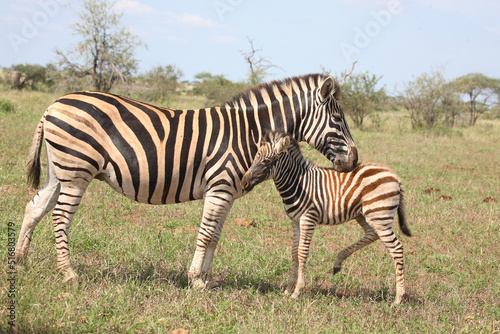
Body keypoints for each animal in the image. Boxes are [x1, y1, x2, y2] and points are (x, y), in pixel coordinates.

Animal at [15, 73, 358, 288]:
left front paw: (207, 280)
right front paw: (194, 279)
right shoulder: (219, 188)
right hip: (76, 172)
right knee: (60, 217)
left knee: (35, 207)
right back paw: (68, 273)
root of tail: (54, 104)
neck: (250, 133)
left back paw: (20, 261)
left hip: (59, 171)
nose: (354, 160)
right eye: (337, 119)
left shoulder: (226, 192)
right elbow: (206, 235)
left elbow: (216, 236)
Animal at [240, 132, 412, 304]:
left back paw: (398, 298)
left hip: (379, 215)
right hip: (364, 214)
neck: (298, 183)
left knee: (396, 248)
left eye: (266, 161)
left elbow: (302, 252)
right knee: (372, 234)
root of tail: (395, 177)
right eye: (254, 158)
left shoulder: (309, 218)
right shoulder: (295, 221)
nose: (243, 182)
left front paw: (297, 291)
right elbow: (294, 251)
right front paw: (288, 290)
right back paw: (338, 262)